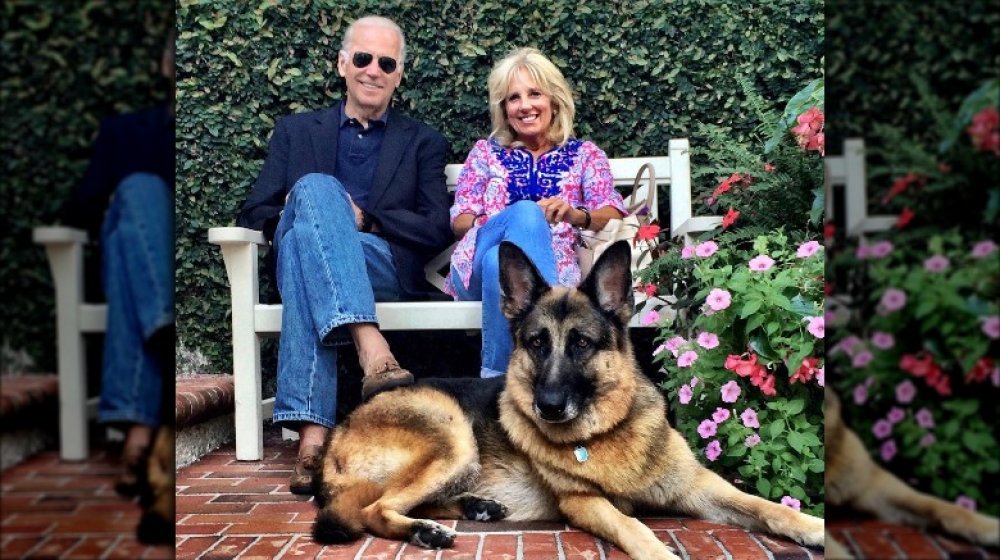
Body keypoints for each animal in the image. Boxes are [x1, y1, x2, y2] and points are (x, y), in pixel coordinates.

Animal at [316, 242, 824, 560]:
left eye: (581, 344)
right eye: (537, 344)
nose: (548, 406)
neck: (604, 432)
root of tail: (340, 431)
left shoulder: (698, 484)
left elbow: (765, 505)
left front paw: (814, 527)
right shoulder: (584, 502)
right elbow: (633, 526)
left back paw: (475, 508)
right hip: (453, 434)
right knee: (374, 510)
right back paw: (426, 530)